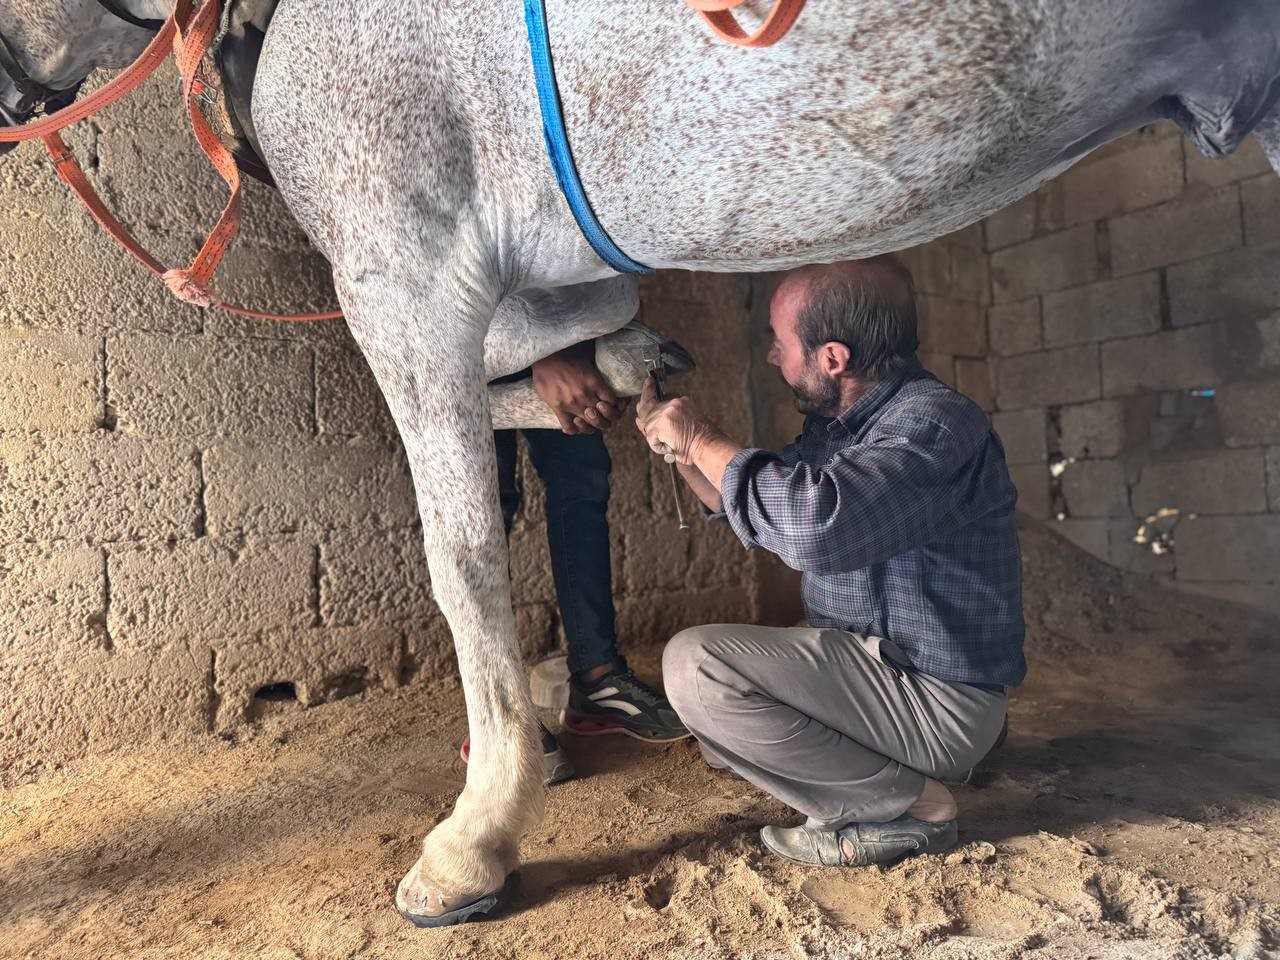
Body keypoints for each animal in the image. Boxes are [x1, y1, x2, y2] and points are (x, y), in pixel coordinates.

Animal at [2, 0, 1280, 931]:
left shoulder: (404, 272)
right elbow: (560, 349)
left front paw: (476, 838)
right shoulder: (527, 269)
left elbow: (460, 556)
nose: (11, 91)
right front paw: (620, 371)